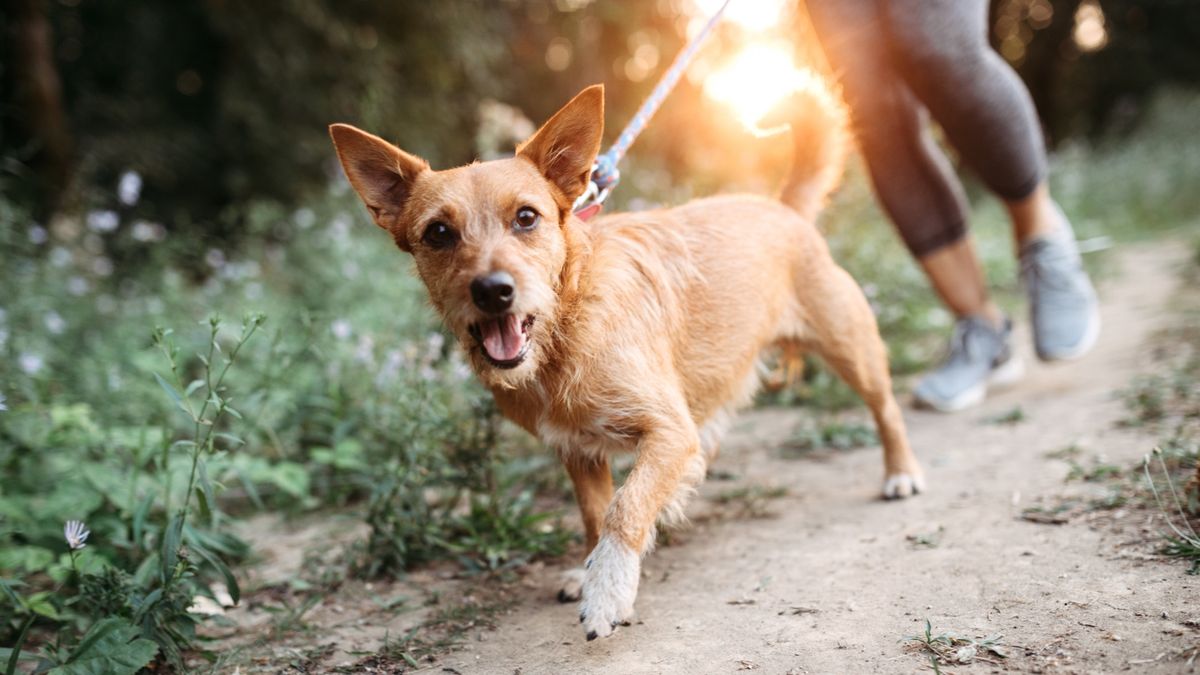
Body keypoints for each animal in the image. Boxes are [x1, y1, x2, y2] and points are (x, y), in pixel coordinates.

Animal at [328, 81, 926, 638]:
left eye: (526, 218)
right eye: (438, 232)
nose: (492, 291)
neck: (565, 330)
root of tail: (781, 207)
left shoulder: (669, 433)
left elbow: (625, 507)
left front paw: (609, 589)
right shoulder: (578, 452)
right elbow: (596, 513)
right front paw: (592, 570)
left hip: (850, 346)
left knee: (886, 408)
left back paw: (901, 472)